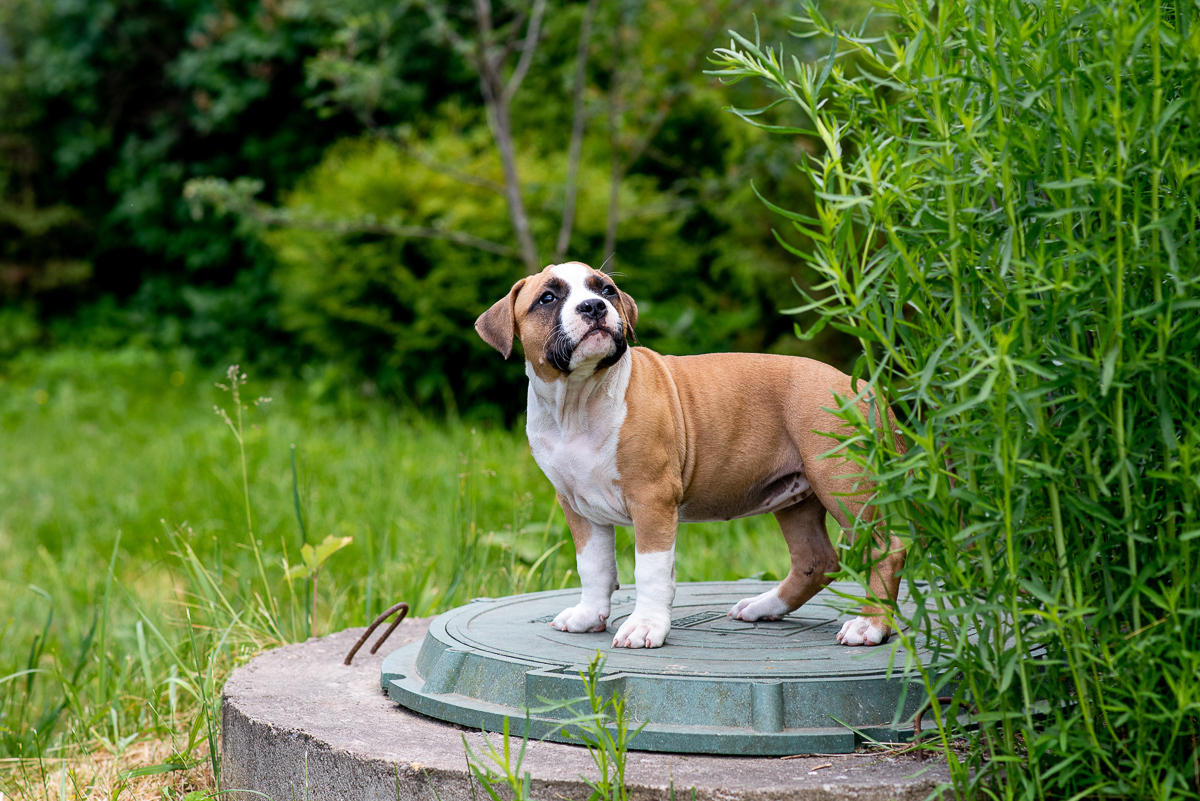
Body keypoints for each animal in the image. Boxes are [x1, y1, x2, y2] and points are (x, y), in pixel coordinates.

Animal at [472, 262, 902, 652]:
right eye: (547, 298)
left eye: (607, 290)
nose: (594, 306)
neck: (579, 400)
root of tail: (864, 386)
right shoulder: (578, 506)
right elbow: (593, 566)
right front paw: (588, 615)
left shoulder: (652, 500)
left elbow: (650, 570)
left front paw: (645, 626)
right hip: (797, 496)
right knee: (816, 560)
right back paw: (765, 606)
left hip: (842, 483)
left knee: (887, 549)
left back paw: (871, 625)